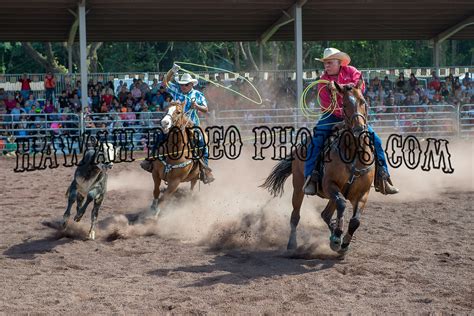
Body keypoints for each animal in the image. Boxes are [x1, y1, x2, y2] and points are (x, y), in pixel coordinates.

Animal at [262, 81, 376, 254]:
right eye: (344, 104)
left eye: (363, 101)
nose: (358, 129)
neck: (354, 154)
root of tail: (299, 146)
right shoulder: (330, 185)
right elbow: (342, 204)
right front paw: (337, 237)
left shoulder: (363, 193)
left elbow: (355, 220)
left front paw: (344, 244)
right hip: (298, 187)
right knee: (295, 216)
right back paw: (292, 245)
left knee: (326, 214)